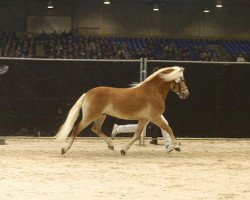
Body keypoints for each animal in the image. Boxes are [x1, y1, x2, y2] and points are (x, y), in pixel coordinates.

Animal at [55, 66, 189, 155]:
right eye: (181, 80)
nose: (186, 94)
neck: (153, 91)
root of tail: (87, 93)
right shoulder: (155, 118)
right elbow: (168, 129)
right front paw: (176, 146)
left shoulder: (144, 119)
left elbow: (136, 134)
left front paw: (124, 150)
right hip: (91, 115)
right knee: (77, 128)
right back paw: (64, 149)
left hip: (101, 115)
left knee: (96, 129)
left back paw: (111, 145)